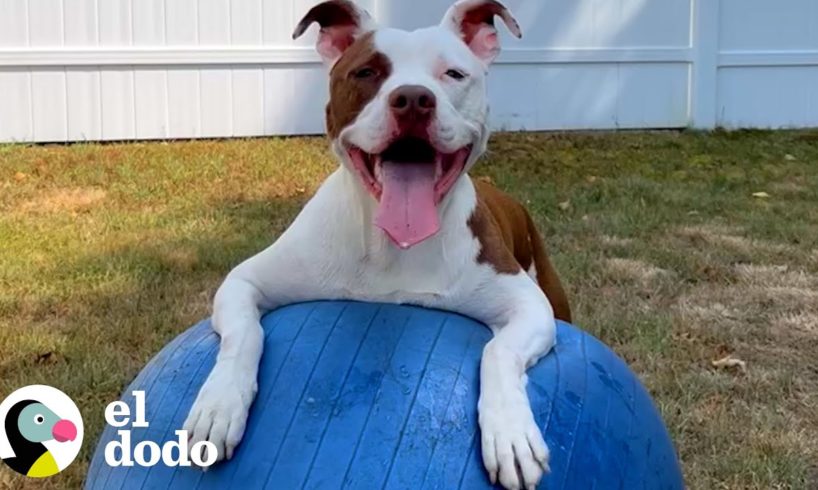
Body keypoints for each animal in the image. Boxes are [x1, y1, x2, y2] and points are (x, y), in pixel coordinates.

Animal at [183, 1, 568, 488]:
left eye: (453, 74)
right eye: (366, 72)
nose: (413, 98)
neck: (394, 245)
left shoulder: (528, 305)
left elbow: (498, 351)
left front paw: (512, 433)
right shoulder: (245, 281)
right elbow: (243, 335)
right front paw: (218, 405)